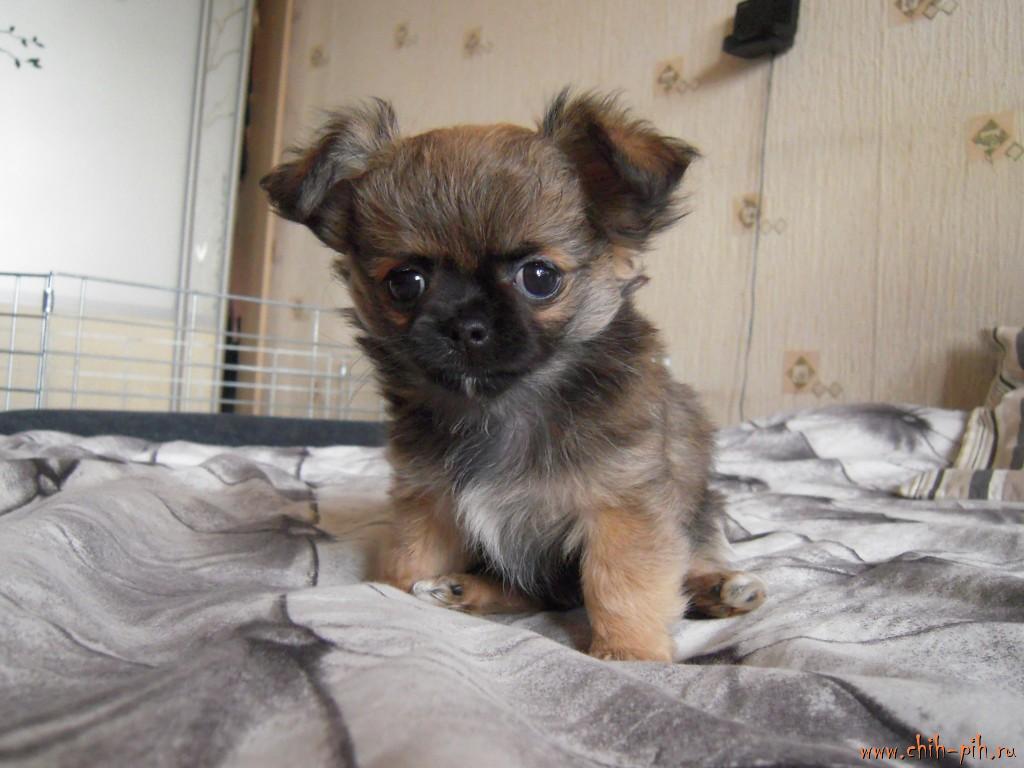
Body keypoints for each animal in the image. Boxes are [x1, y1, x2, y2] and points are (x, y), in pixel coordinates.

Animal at [262, 89, 766, 661]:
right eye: (405, 283)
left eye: (539, 278)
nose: (465, 324)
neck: (498, 408)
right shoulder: (428, 502)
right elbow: (411, 561)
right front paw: (392, 598)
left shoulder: (622, 508)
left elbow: (622, 583)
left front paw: (628, 653)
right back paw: (461, 589)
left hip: (701, 508)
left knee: (693, 556)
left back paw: (718, 589)